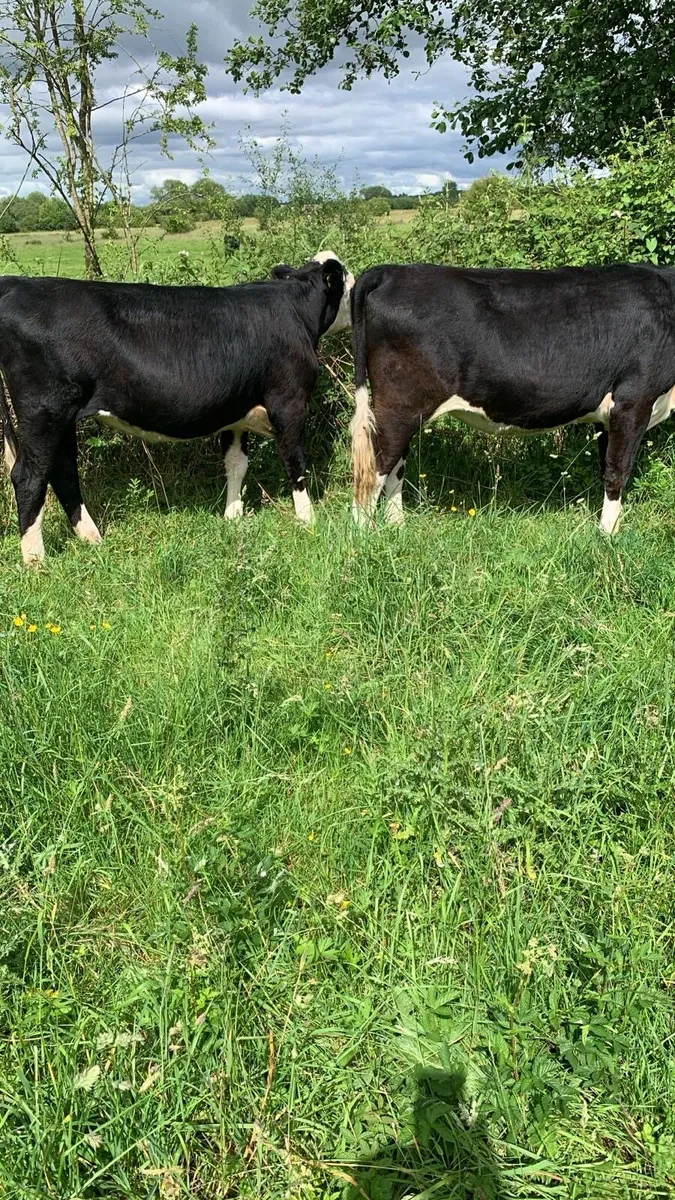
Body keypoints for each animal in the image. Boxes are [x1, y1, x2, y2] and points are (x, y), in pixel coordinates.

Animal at [0, 250, 353, 564]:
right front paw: (308, 520)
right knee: (29, 477)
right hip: (44, 411)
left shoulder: (235, 414)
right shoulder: (289, 403)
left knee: (63, 472)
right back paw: (36, 561)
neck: (295, 311)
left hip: (62, 418)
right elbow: (295, 462)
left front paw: (232, 517)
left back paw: (92, 538)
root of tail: (15, 284)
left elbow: (236, 464)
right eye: (348, 281)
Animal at [350, 263, 675, 531]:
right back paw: (364, 538)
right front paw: (608, 536)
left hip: (405, 412)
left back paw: (397, 527)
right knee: (373, 470)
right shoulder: (633, 401)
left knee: (396, 466)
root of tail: (391, 271)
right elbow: (617, 471)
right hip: (399, 406)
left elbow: (605, 467)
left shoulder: (608, 415)